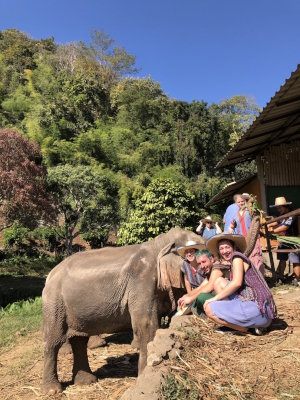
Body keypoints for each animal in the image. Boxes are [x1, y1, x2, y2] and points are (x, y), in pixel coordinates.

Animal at [40, 228, 206, 394]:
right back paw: (52, 390)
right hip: (54, 303)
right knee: (53, 342)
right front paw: (142, 378)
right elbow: (147, 327)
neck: (159, 243)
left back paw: (86, 382)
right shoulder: (142, 282)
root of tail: (50, 275)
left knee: (79, 340)